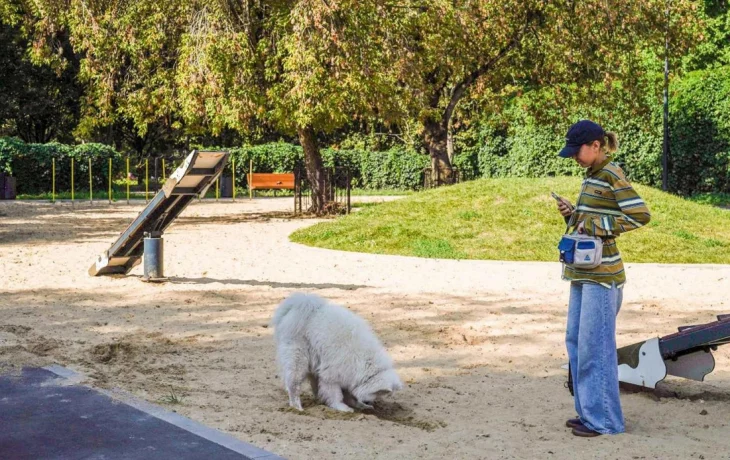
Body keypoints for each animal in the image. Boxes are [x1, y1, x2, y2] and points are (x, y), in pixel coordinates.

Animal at [270, 292, 400, 412]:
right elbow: (335, 394)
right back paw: (297, 407)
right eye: (376, 393)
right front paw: (342, 407)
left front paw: (359, 405)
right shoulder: (331, 375)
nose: (370, 401)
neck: (365, 361)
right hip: (298, 361)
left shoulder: (347, 375)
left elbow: (349, 395)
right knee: (294, 386)